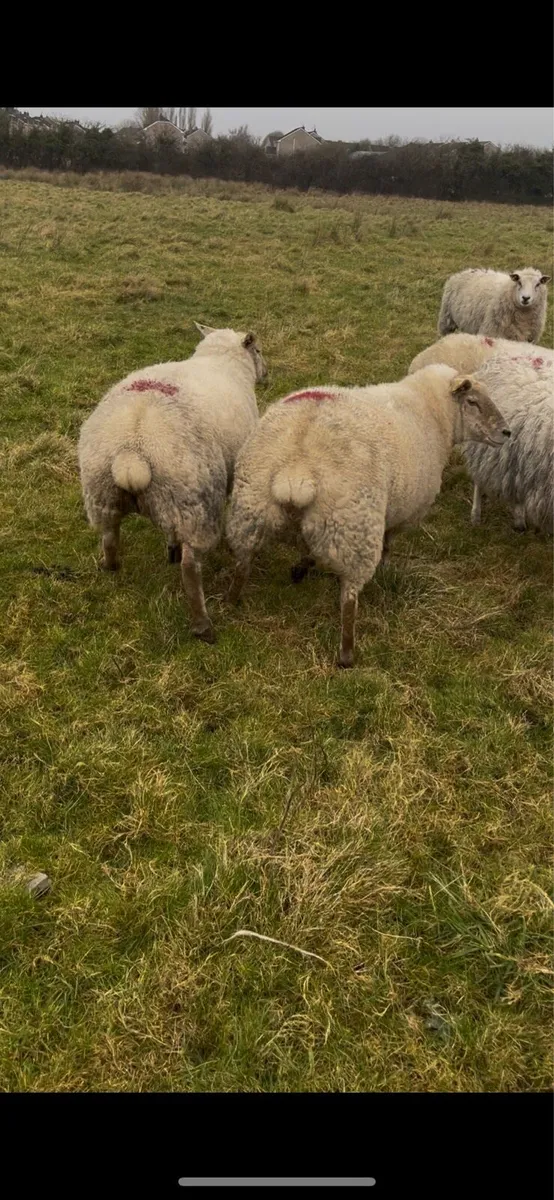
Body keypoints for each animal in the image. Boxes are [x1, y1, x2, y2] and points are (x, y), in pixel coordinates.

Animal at [78, 323, 267, 642]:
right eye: (259, 349)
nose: (267, 373)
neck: (220, 360)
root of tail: (133, 450)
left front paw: (169, 547)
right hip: (195, 505)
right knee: (190, 568)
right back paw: (203, 625)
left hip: (105, 496)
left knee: (109, 536)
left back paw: (111, 567)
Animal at [225, 368, 510, 668]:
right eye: (472, 402)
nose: (507, 432)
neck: (431, 410)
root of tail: (296, 469)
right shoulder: (402, 512)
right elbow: (388, 542)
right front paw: (385, 567)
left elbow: (307, 549)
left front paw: (301, 568)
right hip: (354, 530)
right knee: (349, 598)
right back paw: (347, 654)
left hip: (251, 511)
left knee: (242, 564)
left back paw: (231, 603)